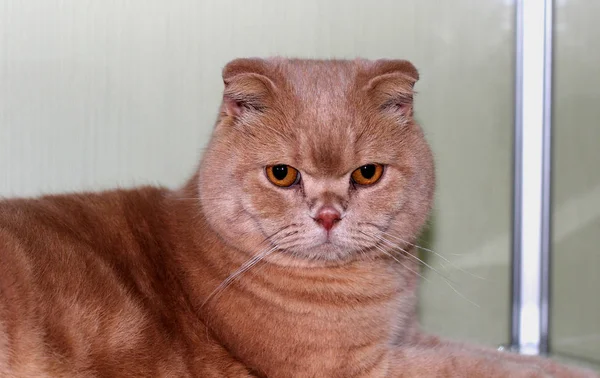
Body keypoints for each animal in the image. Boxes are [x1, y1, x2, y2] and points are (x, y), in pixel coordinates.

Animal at [0, 57, 596, 376]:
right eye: (283, 174)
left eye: (367, 173)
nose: (328, 214)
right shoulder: (359, 367)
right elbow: (482, 365)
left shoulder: (409, 339)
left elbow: (479, 353)